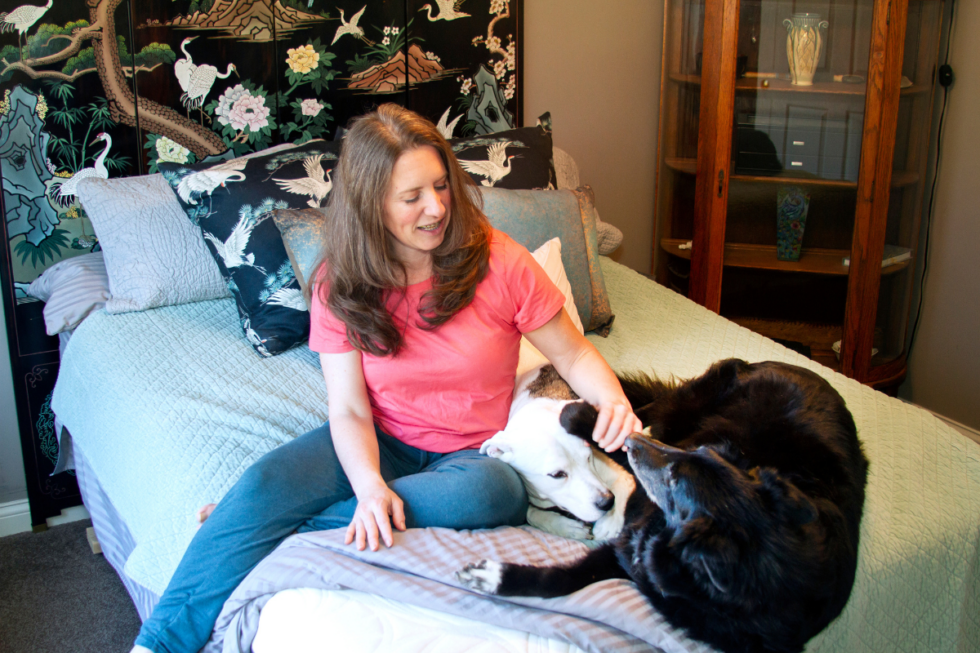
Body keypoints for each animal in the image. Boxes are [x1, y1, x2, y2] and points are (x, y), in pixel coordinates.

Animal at [482, 362, 636, 540]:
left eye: (588, 457)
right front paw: (564, 526)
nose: (607, 502)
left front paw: (610, 520)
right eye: (557, 475)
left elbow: (625, 480)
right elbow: (530, 513)